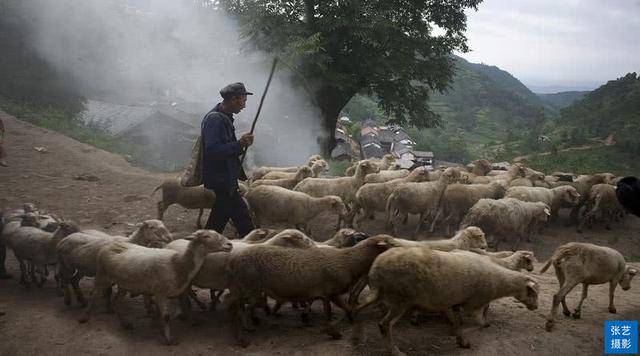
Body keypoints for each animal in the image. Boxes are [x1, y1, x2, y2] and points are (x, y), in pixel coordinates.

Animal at [78, 229, 231, 344]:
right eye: (206, 236)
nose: (229, 244)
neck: (178, 264)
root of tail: (110, 246)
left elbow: (178, 308)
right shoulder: (160, 292)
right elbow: (166, 316)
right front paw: (169, 339)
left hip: (123, 284)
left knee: (116, 301)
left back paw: (125, 323)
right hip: (102, 275)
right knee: (94, 294)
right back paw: (85, 317)